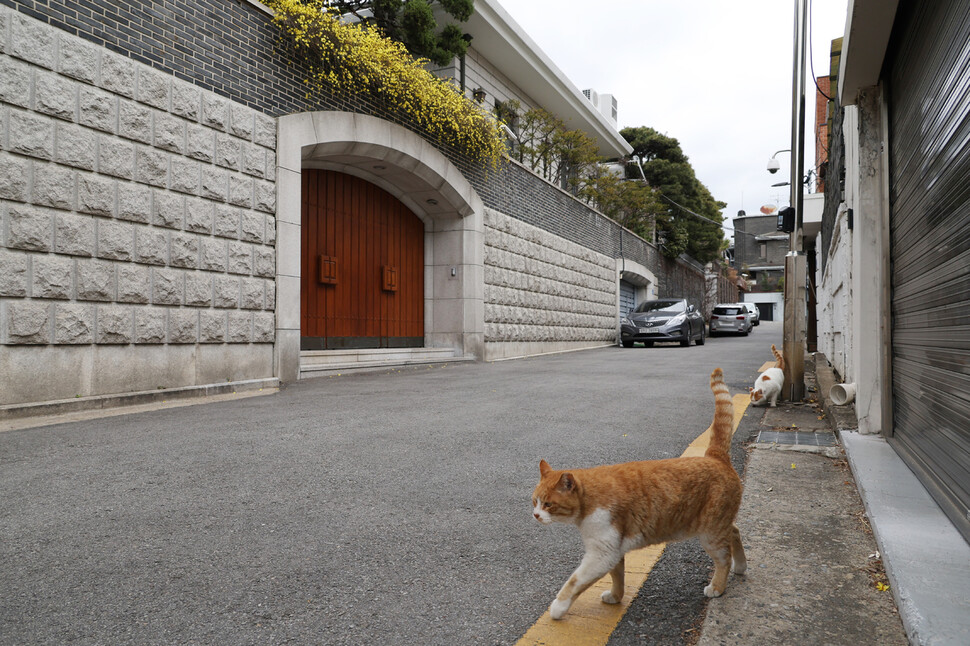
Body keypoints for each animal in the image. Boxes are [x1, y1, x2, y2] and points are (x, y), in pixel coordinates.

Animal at [528, 368, 740, 620]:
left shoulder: (601, 554)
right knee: (735, 532)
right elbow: (617, 576)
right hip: (718, 525)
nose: (536, 515)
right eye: (534, 501)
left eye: (548, 504)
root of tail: (716, 457)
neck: (588, 499)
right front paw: (615, 597)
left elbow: (574, 582)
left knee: (724, 557)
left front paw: (558, 607)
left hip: (710, 532)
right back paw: (741, 567)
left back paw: (717, 586)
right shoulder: (613, 550)